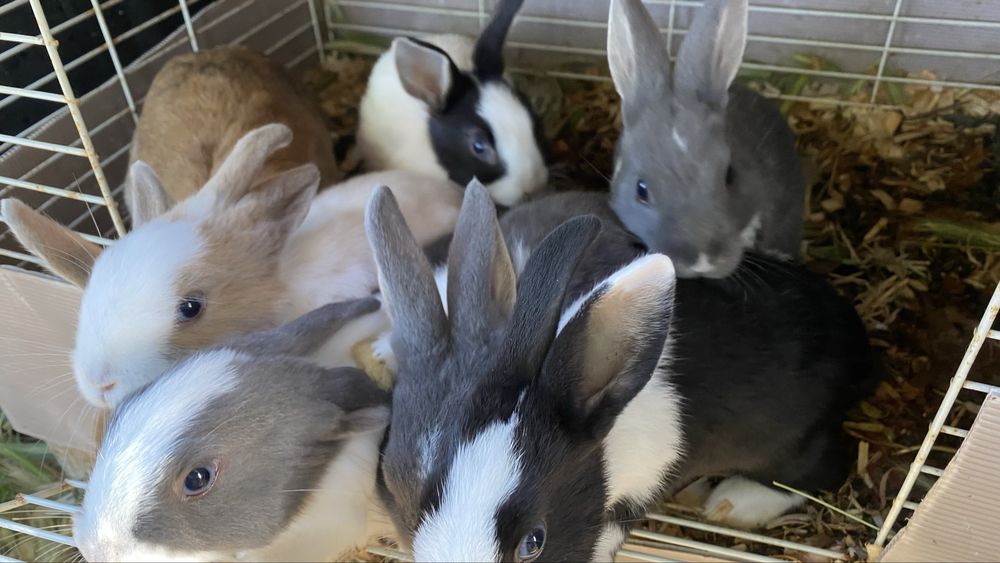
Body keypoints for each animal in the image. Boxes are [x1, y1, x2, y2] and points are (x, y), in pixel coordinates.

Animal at [366, 182, 879, 561]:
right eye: (401, 494)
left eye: (534, 542)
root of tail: (858, 343)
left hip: (788, 444)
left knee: (820, 471)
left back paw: (732, 503)